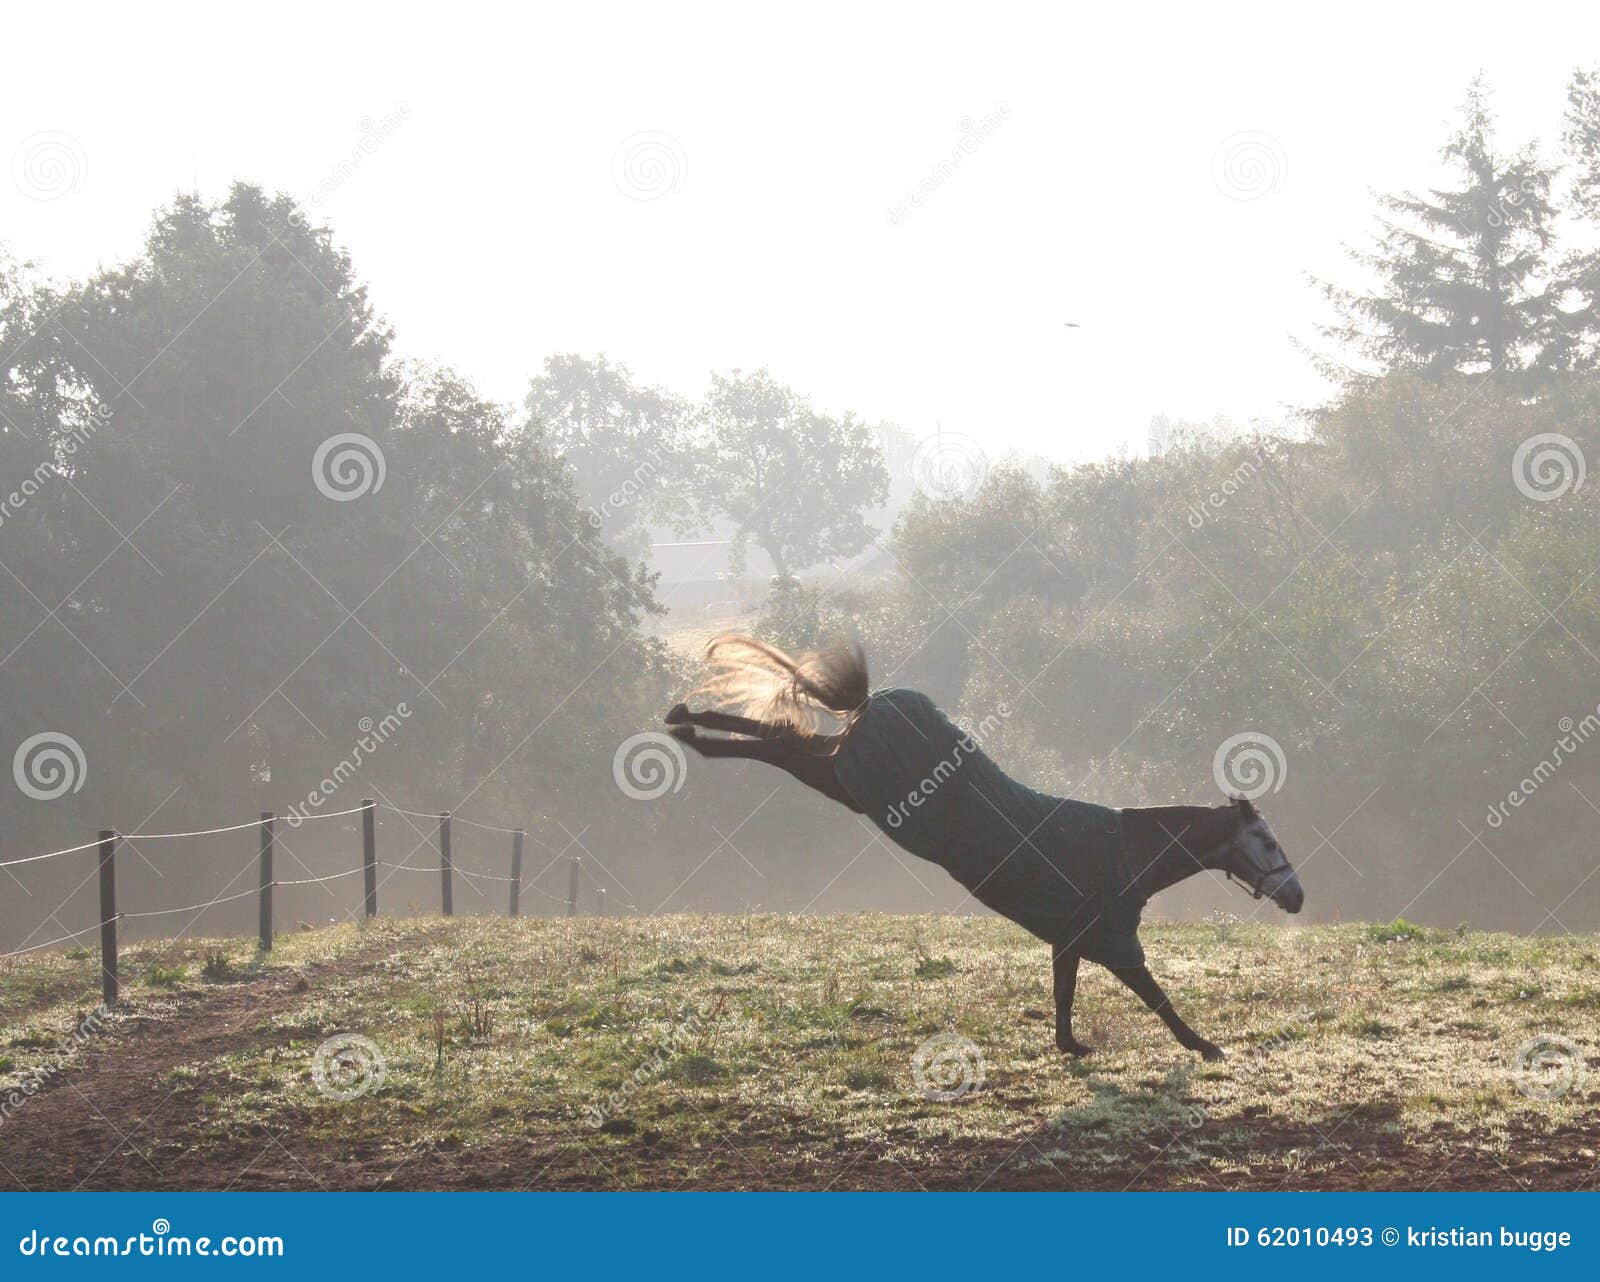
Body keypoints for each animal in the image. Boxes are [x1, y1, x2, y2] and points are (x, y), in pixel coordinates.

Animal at [665, 635, 1304, 1061]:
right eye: (1266, 839)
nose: (1297, 896)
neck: (1123, 853)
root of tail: (877, 704)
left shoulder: (1069, 938)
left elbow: (1064, 993)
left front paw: (1070, 1046)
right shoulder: (1113, 941)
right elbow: (1156, 997)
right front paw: (1204, 1046)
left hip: (844, 775)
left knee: (789, 738)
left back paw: (687, 720)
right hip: (851, 782)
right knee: (781, 745)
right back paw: (689, 725)